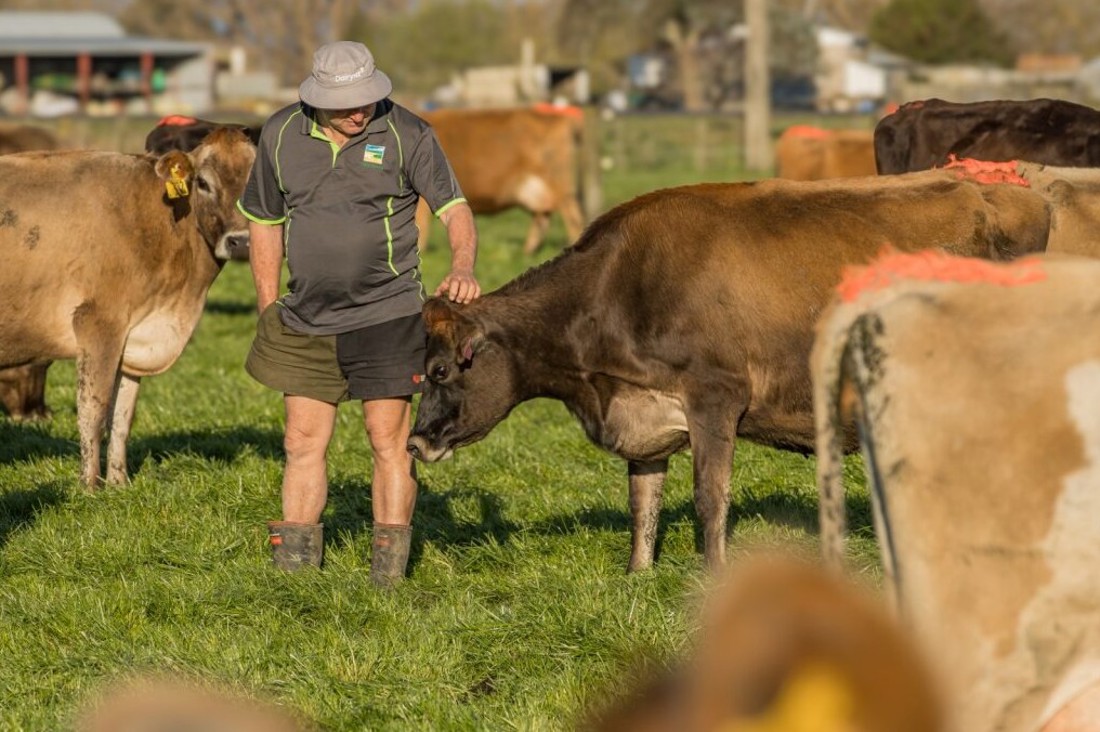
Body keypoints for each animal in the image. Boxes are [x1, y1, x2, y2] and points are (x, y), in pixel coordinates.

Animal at [0, 127, 255, 488]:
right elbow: (93, 409)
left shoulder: (135, 337)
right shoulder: (98, 323)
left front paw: (119, 482)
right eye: (203, 183)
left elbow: (122, 416)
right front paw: (90, 486)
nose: (242, 242)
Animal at [406, 169, 1054, 572]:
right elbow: (643, 500)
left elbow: (708, 497)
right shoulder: (646, 414)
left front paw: (712, 574)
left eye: (439, 371)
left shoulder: (715, 396)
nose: (414, 442)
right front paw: (638, 574)